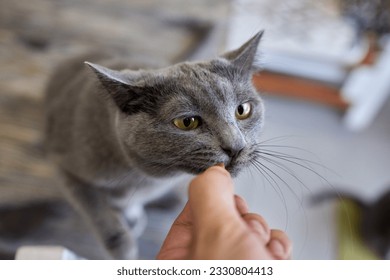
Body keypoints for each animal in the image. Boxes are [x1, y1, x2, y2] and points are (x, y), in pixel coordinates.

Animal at [45, 31, 266, 260]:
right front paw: (123, 246)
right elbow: (95, 207)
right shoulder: (65, 167)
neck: (145, 177)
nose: (236, 146)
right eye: (187, 122)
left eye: (243, 110)